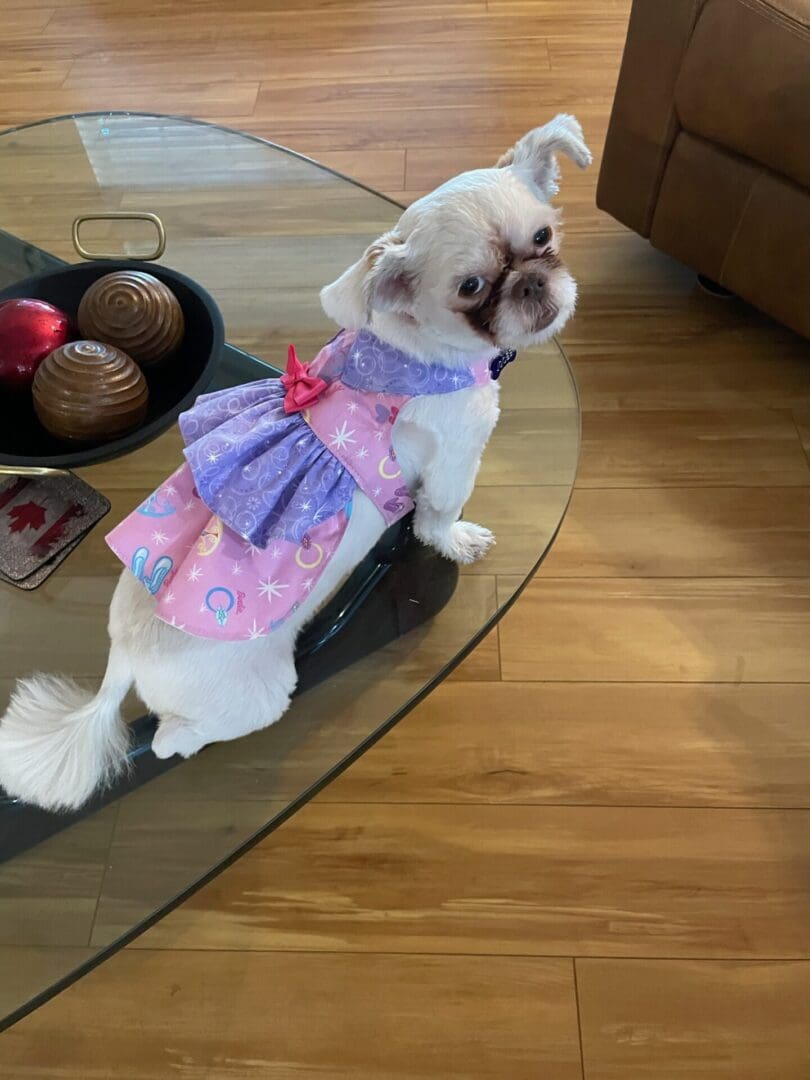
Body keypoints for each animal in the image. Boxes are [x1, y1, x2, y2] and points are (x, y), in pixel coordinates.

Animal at [0, 116, 591, 812]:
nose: (532, 281)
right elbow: (439, 519)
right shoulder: (456, 457)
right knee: (174, 739)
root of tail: (123, 662)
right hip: (255, 696)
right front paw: (458, 541)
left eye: (543, 236)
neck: (413, 350)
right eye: (471, 287)